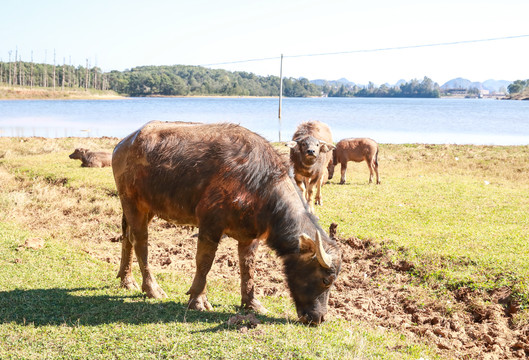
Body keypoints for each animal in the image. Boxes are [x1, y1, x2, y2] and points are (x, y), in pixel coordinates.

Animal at [112, 121, 342, 326]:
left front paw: (252, 302)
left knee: (127, 237)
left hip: (146, 208)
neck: (258, 186)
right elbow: (204, 262)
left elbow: (248, 267)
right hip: (131, 201)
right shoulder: (209, 226)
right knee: (140, 241)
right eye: (326, 280)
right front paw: (198, 300)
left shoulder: (250, 237)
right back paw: (151, 288)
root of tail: (123, 144)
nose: (320, 318)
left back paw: (127, 280)